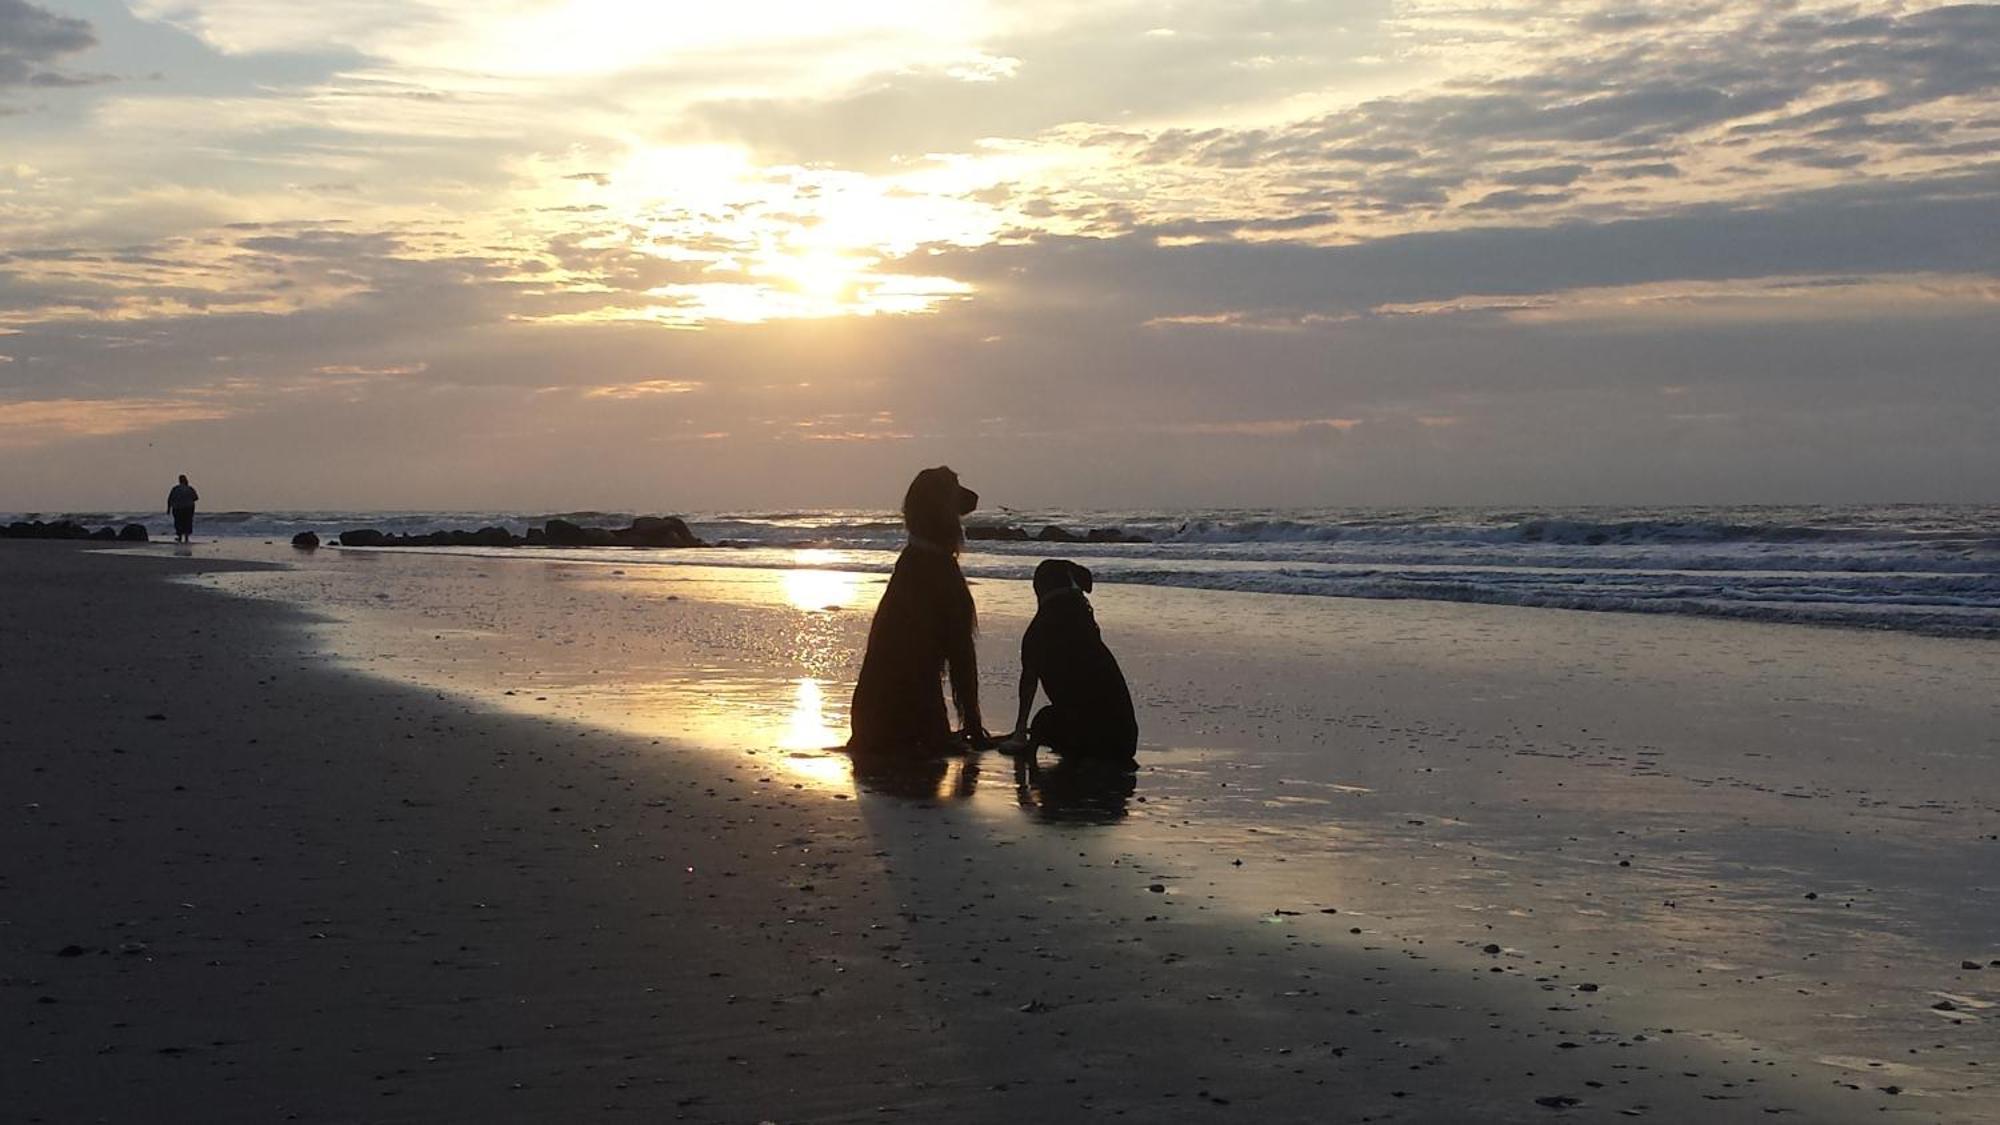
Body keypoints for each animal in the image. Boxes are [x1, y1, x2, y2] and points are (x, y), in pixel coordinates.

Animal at [848, 464, 996, 752]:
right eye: (952, 484)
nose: (975, 496)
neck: (932, 549)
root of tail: (856, 738)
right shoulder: (959, 634)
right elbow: (969, 689)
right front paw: (977, 735)